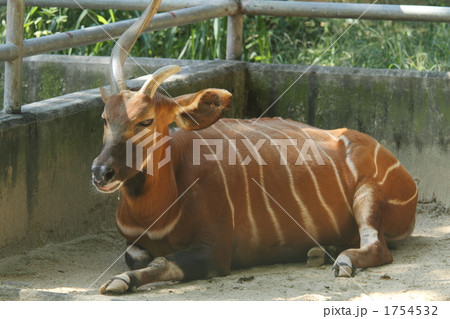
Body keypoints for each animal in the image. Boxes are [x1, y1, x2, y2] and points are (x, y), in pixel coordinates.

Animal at [91, 0, 418, 296]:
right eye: (105, 118)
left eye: (146, 121)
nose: (101, 172)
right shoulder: (133, 243)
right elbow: (136, 258)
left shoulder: (215, 250)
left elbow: (161, 262)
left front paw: (120, 281)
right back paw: (319, 251)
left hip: (368, 195)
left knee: (378, 248)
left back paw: (342, 260)